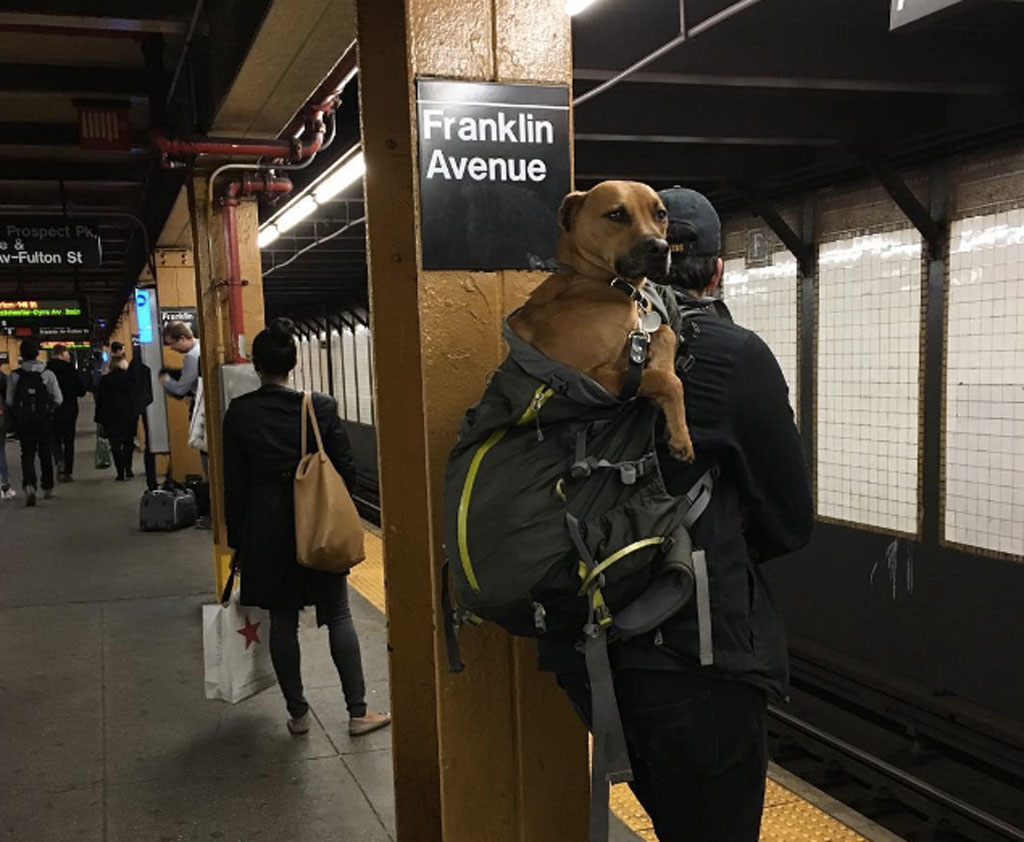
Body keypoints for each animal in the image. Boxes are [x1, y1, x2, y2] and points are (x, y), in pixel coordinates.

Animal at [509, 179, 696, 460]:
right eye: (616, 214)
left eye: (661, 214)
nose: (662, 248)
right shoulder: (593, 377)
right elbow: (668, 381)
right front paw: (682, 437)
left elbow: (666, 332)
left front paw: (663, 364)